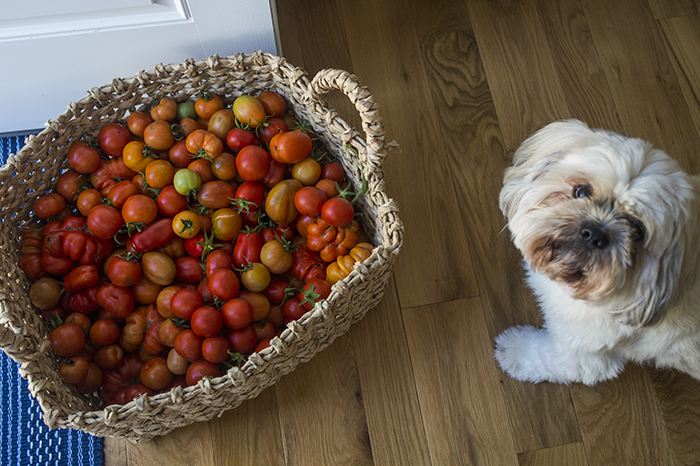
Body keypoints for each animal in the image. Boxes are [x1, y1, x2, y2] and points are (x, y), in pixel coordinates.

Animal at [494, 120, 700, 386]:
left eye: (637, 230)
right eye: (581, 192)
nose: (595, 233)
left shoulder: (584, 354)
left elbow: (545, 358)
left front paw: (515, 350)